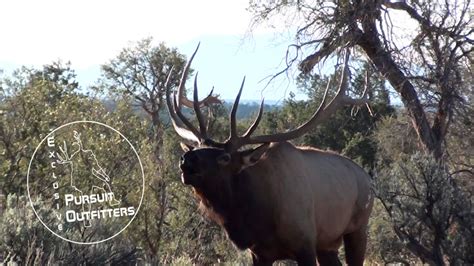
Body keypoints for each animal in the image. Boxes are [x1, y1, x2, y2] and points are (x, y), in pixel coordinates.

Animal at [167, 44, 374, 264]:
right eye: (195, 148)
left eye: (225, 158)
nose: (187, 159)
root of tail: (368, 178)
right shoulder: (260, 253)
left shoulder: (305, 243)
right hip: (328, 244)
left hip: (358, 228)